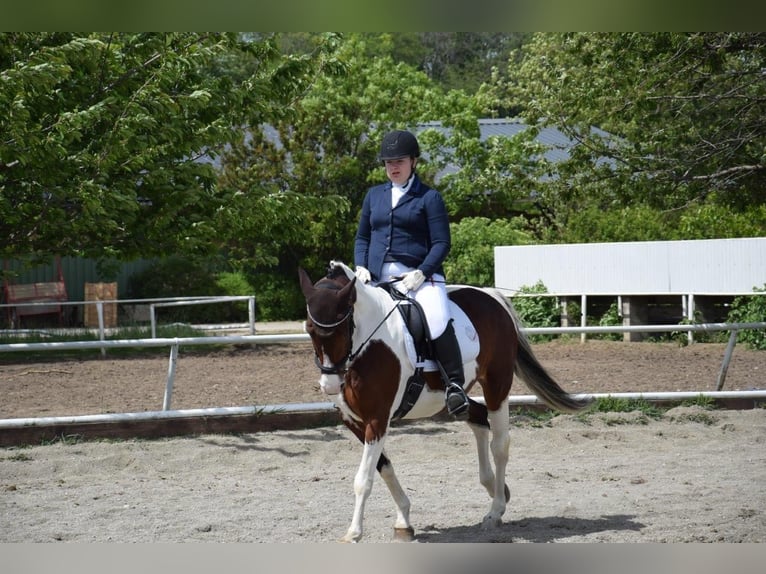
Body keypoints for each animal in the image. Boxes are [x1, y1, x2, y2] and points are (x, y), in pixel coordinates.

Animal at [296, 260, 592, 544]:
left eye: (343, 327)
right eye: (309, 329)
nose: (330, 385)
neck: (368, 345)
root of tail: (492, 296)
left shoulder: (377, 419)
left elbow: (364, 479)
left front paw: (353, 533)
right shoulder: (355, 421)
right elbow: (384, 468)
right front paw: (403, 522)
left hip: (497, 383)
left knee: (499, 444)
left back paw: (495, 510)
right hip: (453, 396)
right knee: (478, 417)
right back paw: (494, 487)